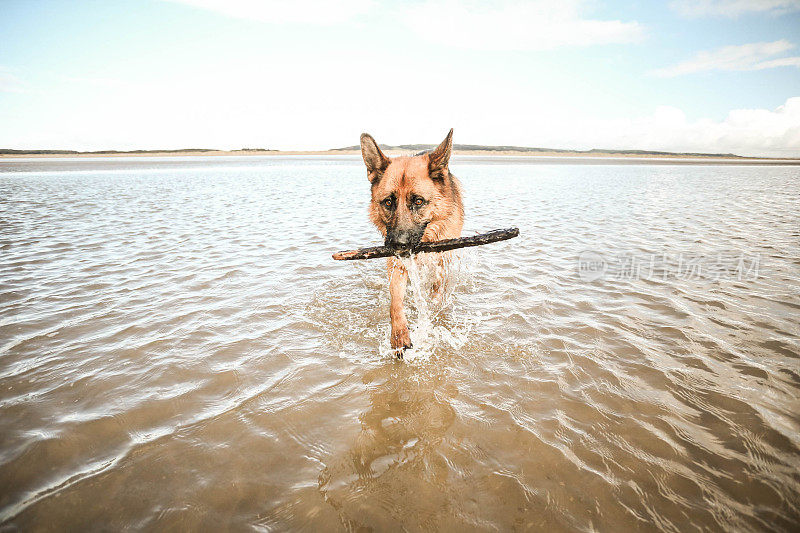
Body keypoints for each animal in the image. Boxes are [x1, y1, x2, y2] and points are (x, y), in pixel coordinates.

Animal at [360, 128, 466, 354]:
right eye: (388, 202)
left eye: (418, 201)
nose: (398, 244)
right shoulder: (397, 264)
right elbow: (395, 302)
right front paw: (399, 334)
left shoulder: (441, 265)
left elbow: (434, 298)